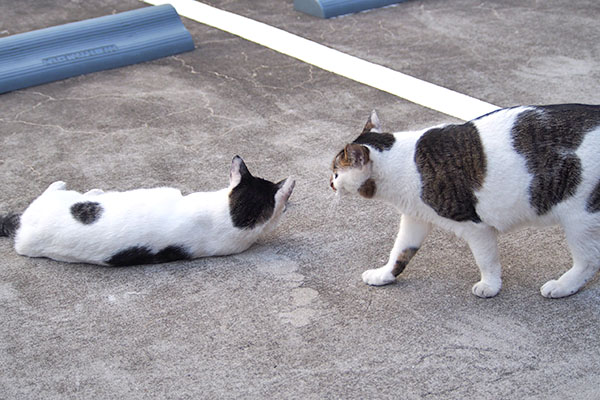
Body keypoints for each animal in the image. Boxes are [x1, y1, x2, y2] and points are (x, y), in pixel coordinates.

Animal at [330, 104, 600, 298]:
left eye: (335, 172)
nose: (329, 183)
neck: (403, 165)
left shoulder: (474, 225)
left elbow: (486, 260)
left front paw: (490, 286)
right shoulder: (415, 217)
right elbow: (400, 252)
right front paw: (383, 275)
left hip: (580, 218)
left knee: (588, 261)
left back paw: (562, 287)